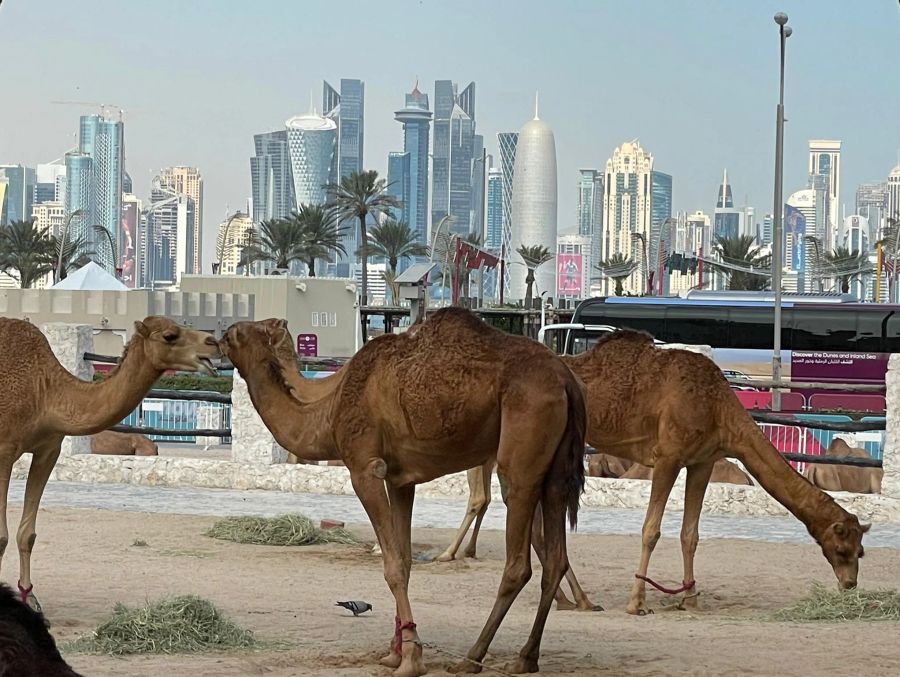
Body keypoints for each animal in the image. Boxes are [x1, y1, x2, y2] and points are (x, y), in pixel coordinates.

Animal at [0, 314, 220, 608]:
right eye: (170, 335)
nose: (213, 343)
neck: (45, 392)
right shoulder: (4, 449)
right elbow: (0, 536)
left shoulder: (49, 449)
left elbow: (28, 534)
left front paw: (29, 596)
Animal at [223, 308, 592, 676]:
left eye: (236, 334)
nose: (217, 338)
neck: (330, 410)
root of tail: (566, 378)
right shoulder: (400, 480)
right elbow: (405, 559)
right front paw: (394, 653)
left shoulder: (365, 469)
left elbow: (392, 565)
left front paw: (412, 659)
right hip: (556, 469)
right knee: (556, 558)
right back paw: (526, 656)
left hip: (523, 442)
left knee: (518, 560)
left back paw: (472, 657)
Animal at [440, 330, 868, 616]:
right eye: (843, 547)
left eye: (860, 550)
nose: (850, 583)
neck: (719, 405)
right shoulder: (668, 456)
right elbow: (651, 530)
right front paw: (637, 601)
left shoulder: (702, 461)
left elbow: (690, 534)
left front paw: (691, 599)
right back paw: (574, 597)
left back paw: (573, 598)